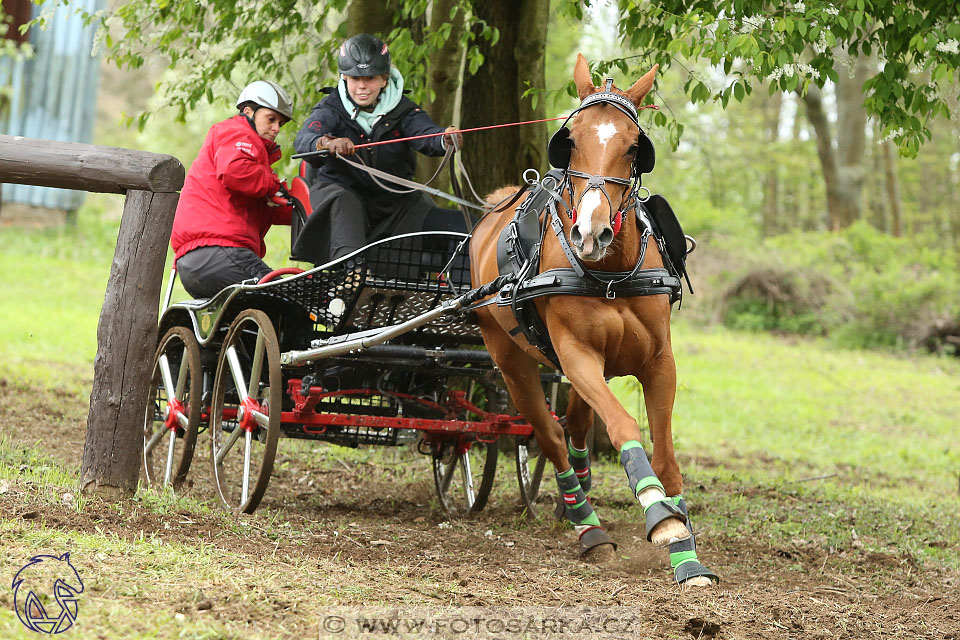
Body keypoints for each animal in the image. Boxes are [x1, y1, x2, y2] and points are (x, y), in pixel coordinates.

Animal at [468, 53, 716, 584]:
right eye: (571, 140)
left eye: (634, 147)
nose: (590, 232)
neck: (610, 272)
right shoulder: (577, 356)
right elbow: (623, 426)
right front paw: (659, 514)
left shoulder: (660, 363)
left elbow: (666, 454)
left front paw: (686, 553)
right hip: (512, 362)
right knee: (552, 435)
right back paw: (587, 525)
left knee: (577, 428)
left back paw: (577, 498)